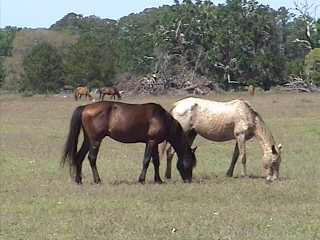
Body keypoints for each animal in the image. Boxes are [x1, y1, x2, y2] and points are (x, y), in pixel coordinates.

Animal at [61, 100, 196, 185]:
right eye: (191, 163)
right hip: (95, 140)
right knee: (92, 158)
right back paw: (97, 180)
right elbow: (147, 161)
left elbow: (156, 162)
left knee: (79, 157)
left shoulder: (153, 143)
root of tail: (85, 107)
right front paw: (141, 180)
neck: (162, 118)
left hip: (88, 140)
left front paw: (158, 180)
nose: (189, 180)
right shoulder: (151, 142)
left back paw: (79, 180)